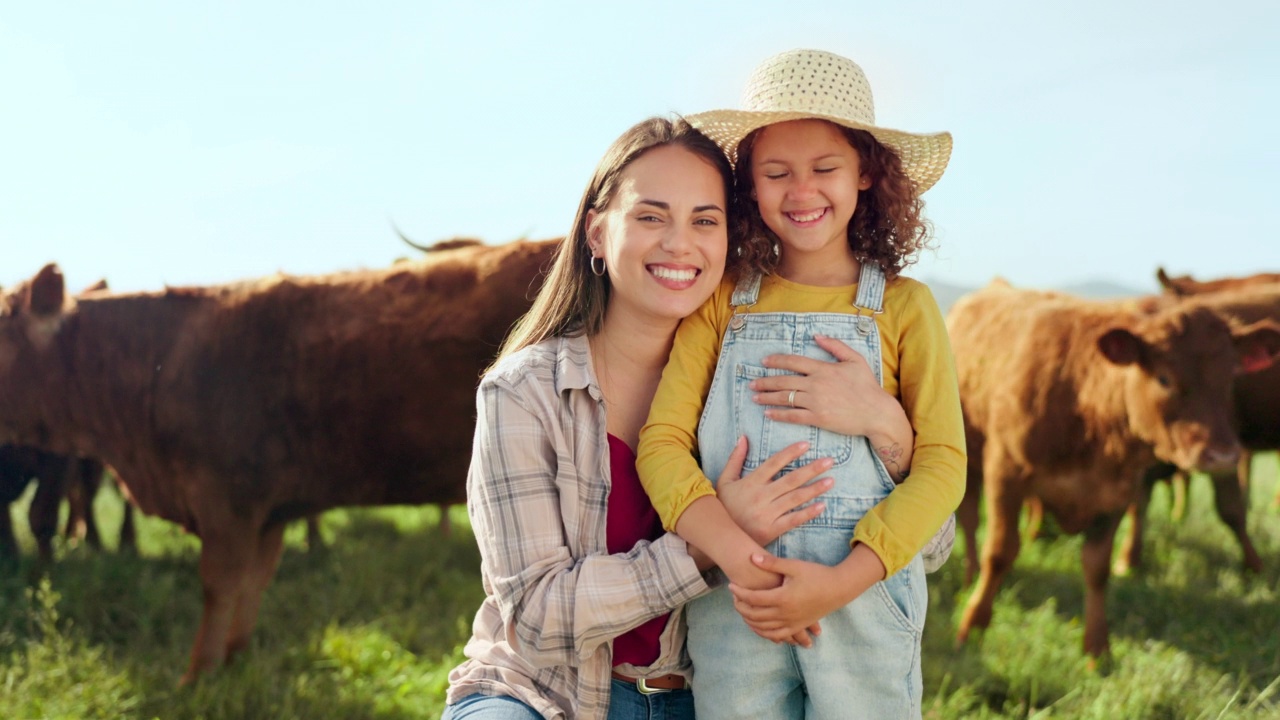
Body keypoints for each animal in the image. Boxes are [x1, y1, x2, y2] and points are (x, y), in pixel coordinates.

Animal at [0, 238, 560, 681]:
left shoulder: (226, 503)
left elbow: (218, 586)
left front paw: (196, 677)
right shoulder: (266, 514)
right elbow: (251, 587)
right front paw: (234, 662)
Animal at [952, 279, 1280, 655]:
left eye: (1230, 377)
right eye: (1164, 378)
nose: (1223, 455)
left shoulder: (1115, 494)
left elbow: (1097, 568)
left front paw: (1097, 648)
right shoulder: (1006, 471)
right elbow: (1000, 552)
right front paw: (973, 625)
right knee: (970, 521)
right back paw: (968, 576)